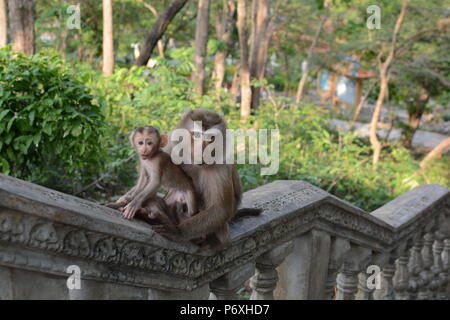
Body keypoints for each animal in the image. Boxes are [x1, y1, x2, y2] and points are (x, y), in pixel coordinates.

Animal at [156, 109, 258, 249]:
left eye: (211, 139)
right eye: (196, 135)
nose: (202, 151)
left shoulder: (221, 165)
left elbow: (220, 209)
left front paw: (179, 232)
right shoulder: (172, 145)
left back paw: (212, 240)